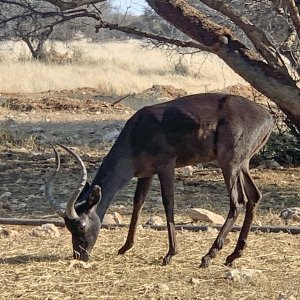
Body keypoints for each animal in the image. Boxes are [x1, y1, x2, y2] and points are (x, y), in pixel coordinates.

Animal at [45, 94, 274, 268]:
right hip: (243, 164)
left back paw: (208, 256)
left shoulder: (166, 166)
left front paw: (170, 254)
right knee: (254, 196)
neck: (137, 133)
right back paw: (233, 255)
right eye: (68, 227)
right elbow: (138, 202)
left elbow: (168, 203)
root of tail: (268, 117)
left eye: (81, 226)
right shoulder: (146, 173)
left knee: (238, 202)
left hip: (230, 164)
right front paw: (125, 247)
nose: (80, 255)